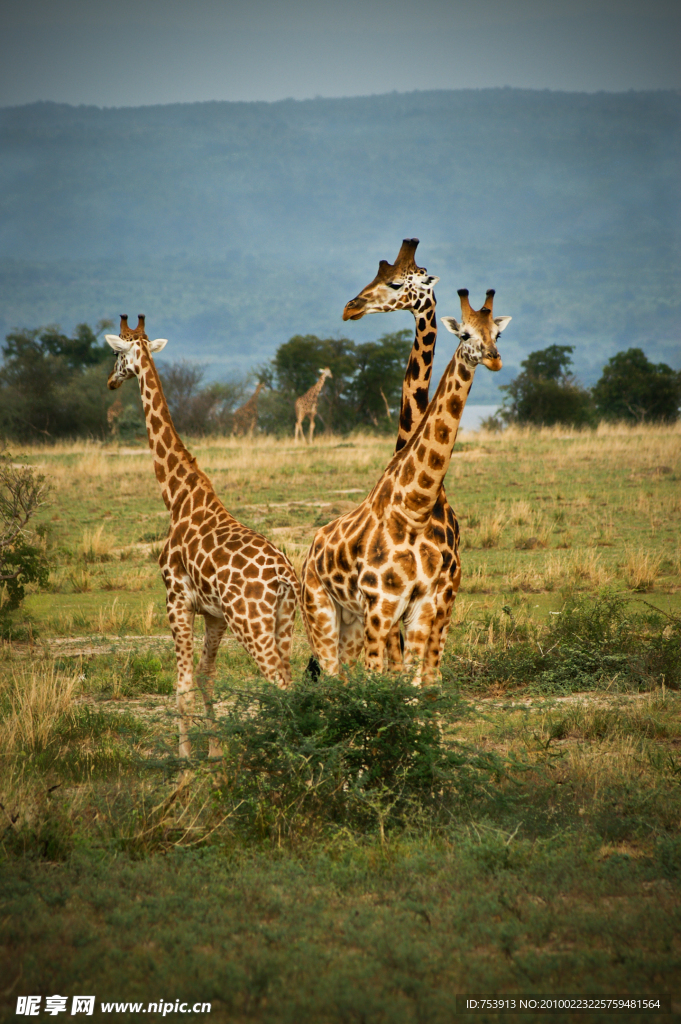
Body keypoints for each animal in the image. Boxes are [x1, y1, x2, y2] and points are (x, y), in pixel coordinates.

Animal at [104, 315, 301, 757]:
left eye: (117, 353)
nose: (110, 381)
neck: (177, 497)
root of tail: (285, 578)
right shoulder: (214, 615)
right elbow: (207, 677)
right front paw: (213, 751)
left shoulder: (176, 600)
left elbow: (183, 685)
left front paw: (185, 758)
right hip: (283, 623)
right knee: (295, 681)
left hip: (253, 624)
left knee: (280, 683)